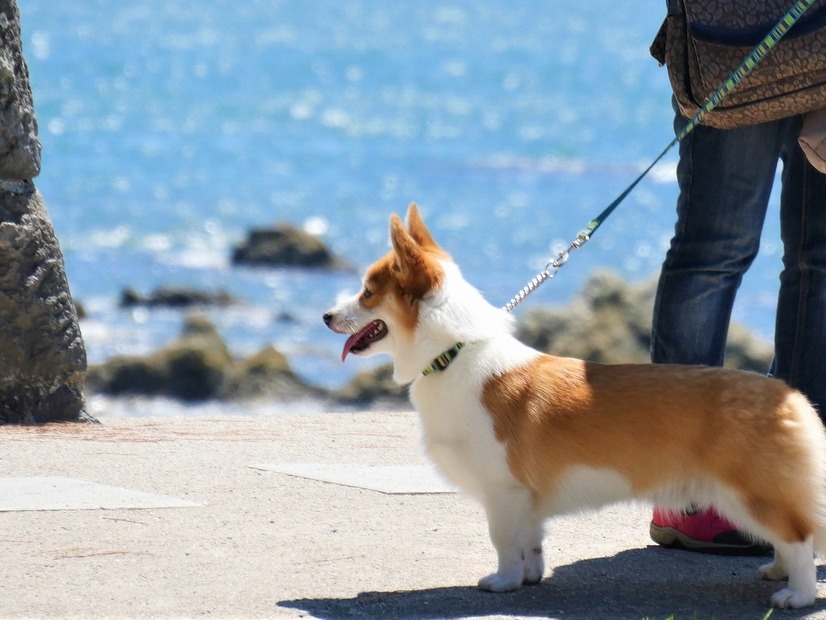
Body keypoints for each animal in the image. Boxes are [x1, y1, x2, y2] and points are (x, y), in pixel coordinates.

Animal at [322, 205, 824, 612]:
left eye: (367, 292)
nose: (325, 316)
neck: (454, 351)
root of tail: (793, 397)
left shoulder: (503, 491)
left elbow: (502, 541)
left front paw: (502, 583)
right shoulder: (525, 500)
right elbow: (531, 543)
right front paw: (529, 578)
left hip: (750, 493)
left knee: (799, 538)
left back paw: (795, 595)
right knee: (791, 537)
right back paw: (776, 572)